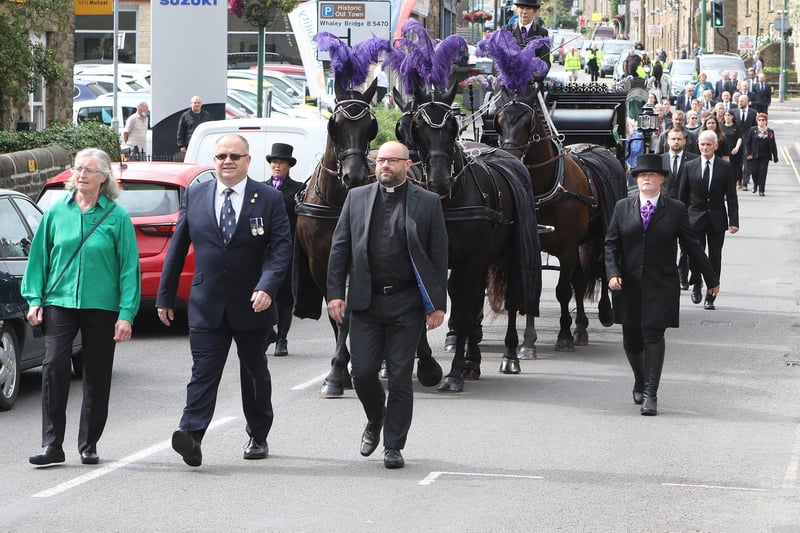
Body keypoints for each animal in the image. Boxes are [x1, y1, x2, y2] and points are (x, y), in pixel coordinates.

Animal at [404, 83, 540, 390]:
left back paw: (509, 355)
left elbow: (465, 314)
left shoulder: (471, 261)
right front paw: (429, 366)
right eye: (416, 126)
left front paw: (454, 373)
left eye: (452, 126)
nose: (440, 181)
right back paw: (473, 360)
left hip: (507, 255)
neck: (447, 201)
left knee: (508, 302)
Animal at [494, 82, 624, 354]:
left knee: (600, 268)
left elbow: (563, 290)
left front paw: (563, 335)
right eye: (498, 120)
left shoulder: (567, 248)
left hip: (599, 235)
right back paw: (581, 327)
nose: (509, 157)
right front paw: (528, 341)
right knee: (580, 278)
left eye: (528, 122)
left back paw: (604, 312)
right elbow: (534, 287)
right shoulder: (531, 244)